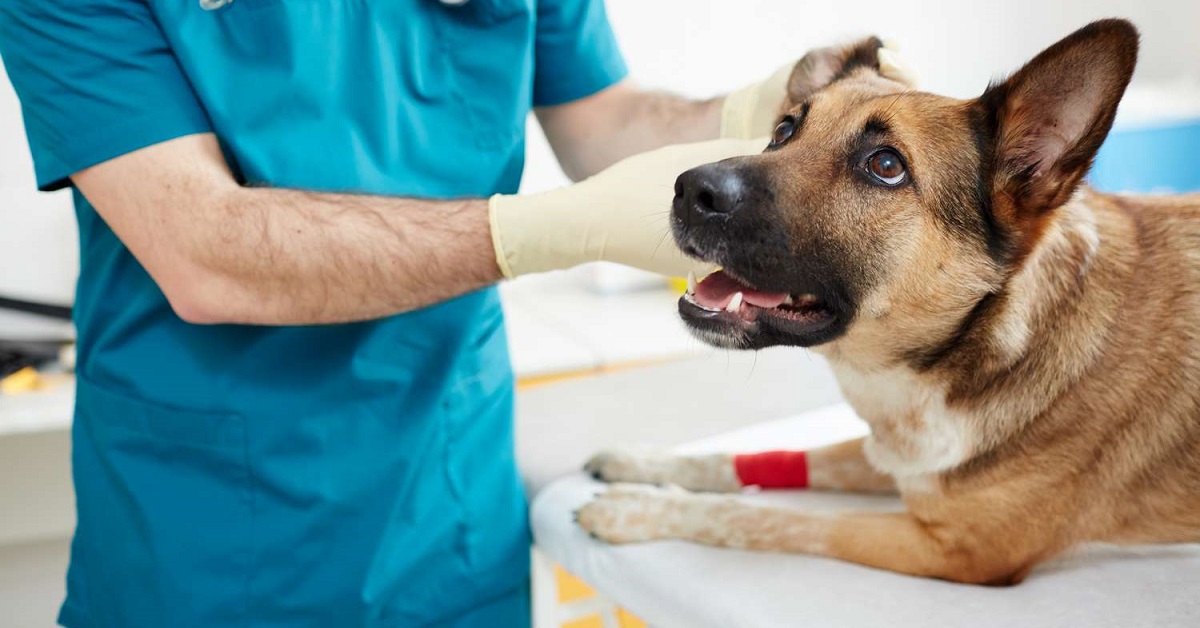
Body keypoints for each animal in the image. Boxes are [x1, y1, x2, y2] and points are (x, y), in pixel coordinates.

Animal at [573, 20, 1200, 590]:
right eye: (783, 129)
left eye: (886, 165)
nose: (687, 190)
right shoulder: (892, 455)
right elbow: (761, 456)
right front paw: (643, 463)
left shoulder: (956, 552)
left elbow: (766, 517)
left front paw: (639, 508)